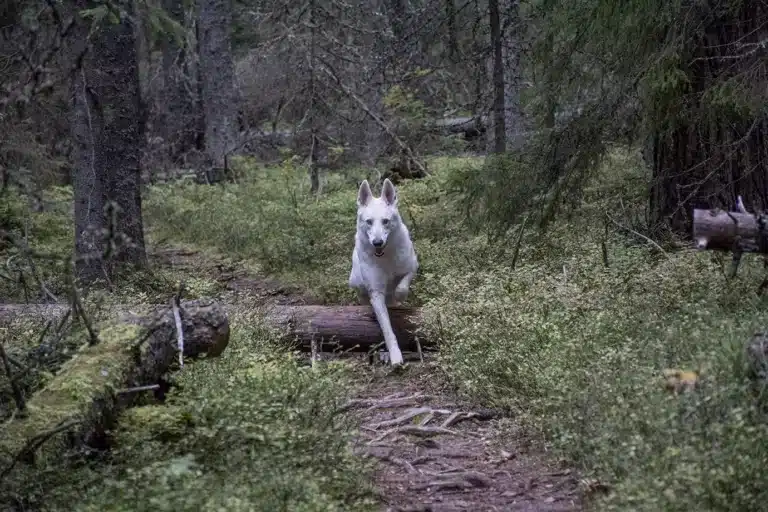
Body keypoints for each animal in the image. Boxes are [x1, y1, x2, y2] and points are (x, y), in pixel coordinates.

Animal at [350, 178, 420, 366]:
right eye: (369, 222)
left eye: (385, 221)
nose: (377, 242)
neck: (385, 256)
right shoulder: (376, 294)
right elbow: (387, 330)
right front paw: (395, 356)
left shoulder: (412, 266)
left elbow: (402, 286)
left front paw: (399, 295)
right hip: (358, 287)